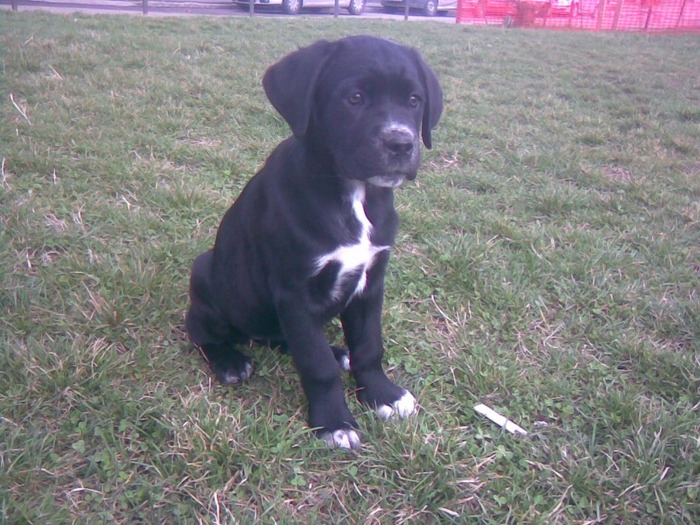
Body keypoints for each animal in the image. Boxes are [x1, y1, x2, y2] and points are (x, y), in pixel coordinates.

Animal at [186, 34, 442, 448]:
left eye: (414, 100)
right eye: (355, 98)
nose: (401, 143)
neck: (353, 195)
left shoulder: (371, 283)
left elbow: (369, 346)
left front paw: (381, 394)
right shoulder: (295, 295)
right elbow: (317, 365)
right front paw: (334, 421)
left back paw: (339, 352)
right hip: (205, 275)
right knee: (202, 331)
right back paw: (229, 361)